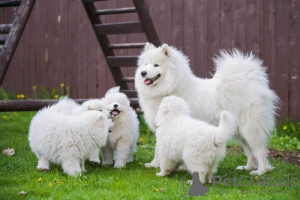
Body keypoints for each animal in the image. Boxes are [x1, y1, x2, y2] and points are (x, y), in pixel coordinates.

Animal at [135, 42, 278, 175]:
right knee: (249, 152)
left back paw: (261, 171)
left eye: (156, 65)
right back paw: (247, 167)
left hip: (250, 130)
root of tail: (253, 83)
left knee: (259, 151)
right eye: (145, 64)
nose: (143, 73)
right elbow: (157, 149)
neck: (170, 88)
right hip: (241, 133)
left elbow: (159, 150)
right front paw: (154, 164)